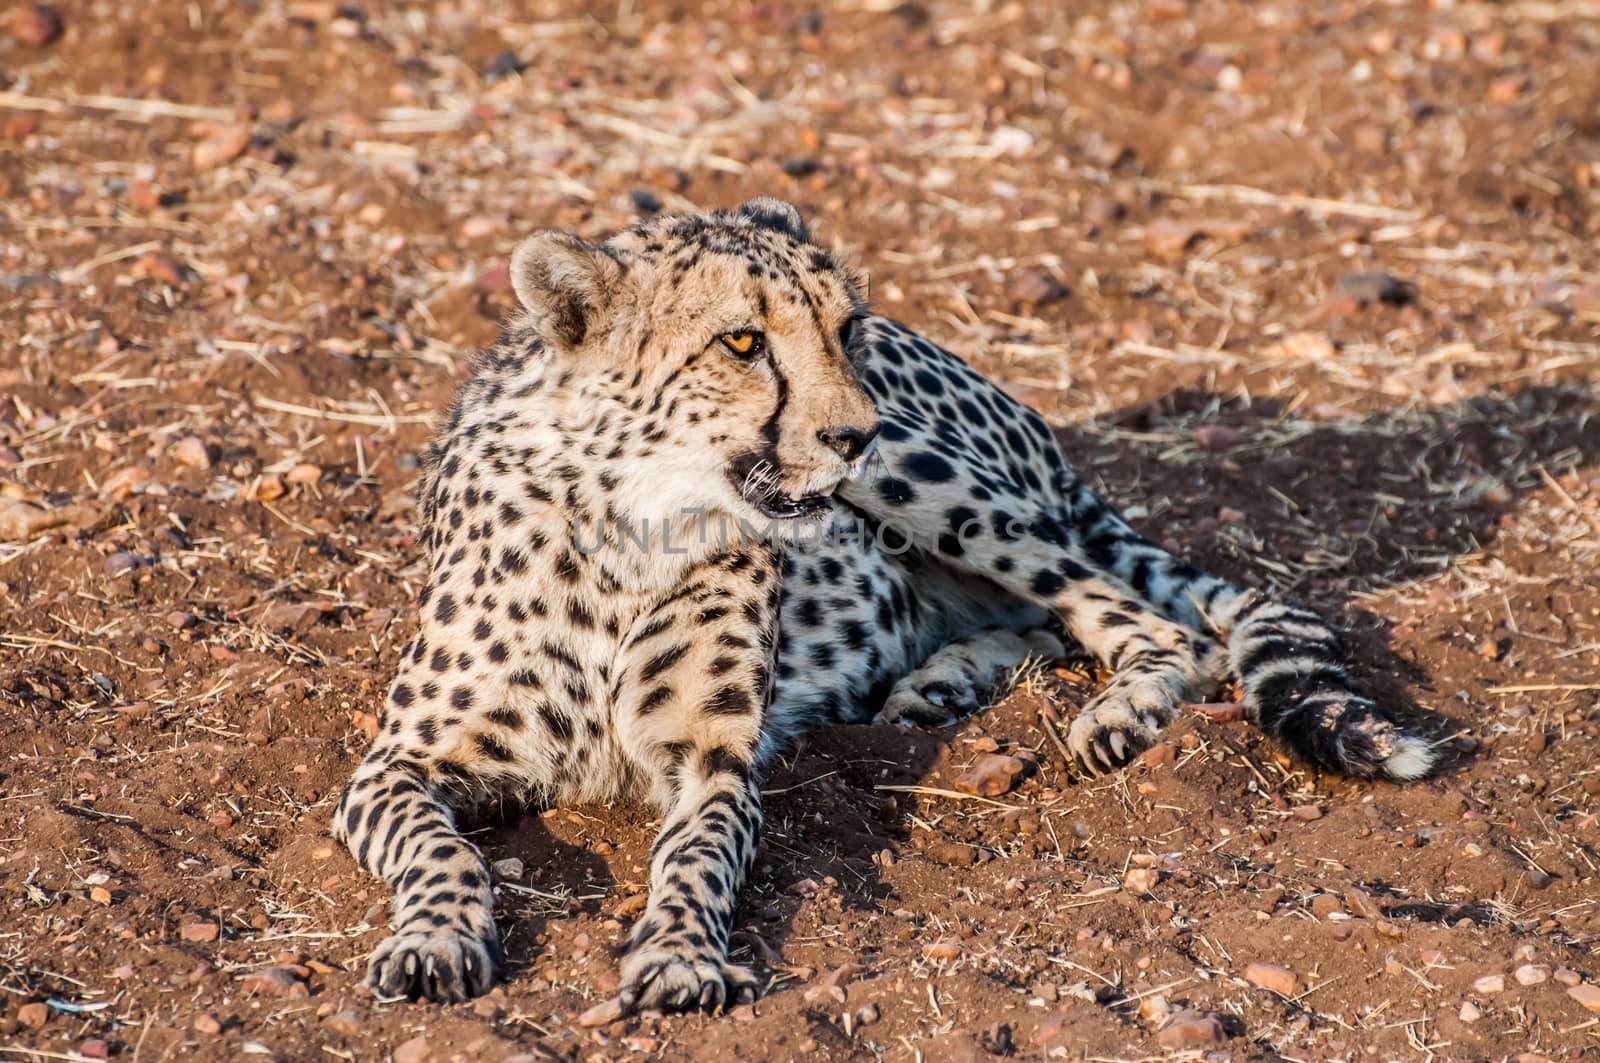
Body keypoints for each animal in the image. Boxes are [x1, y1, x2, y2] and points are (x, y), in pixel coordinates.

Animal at [331, 201, 1433, 1011]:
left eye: (842, 328)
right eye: (742, 341)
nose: (852, 432)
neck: (630, 524)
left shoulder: (713, 761)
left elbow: (697, 858)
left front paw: (680, 954)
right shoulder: (394, 765)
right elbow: (439, 850)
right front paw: (434, 938)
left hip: (933, 481)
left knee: (1143, 620)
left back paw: (1112, 710)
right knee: (1046, 619)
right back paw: (937, 685)